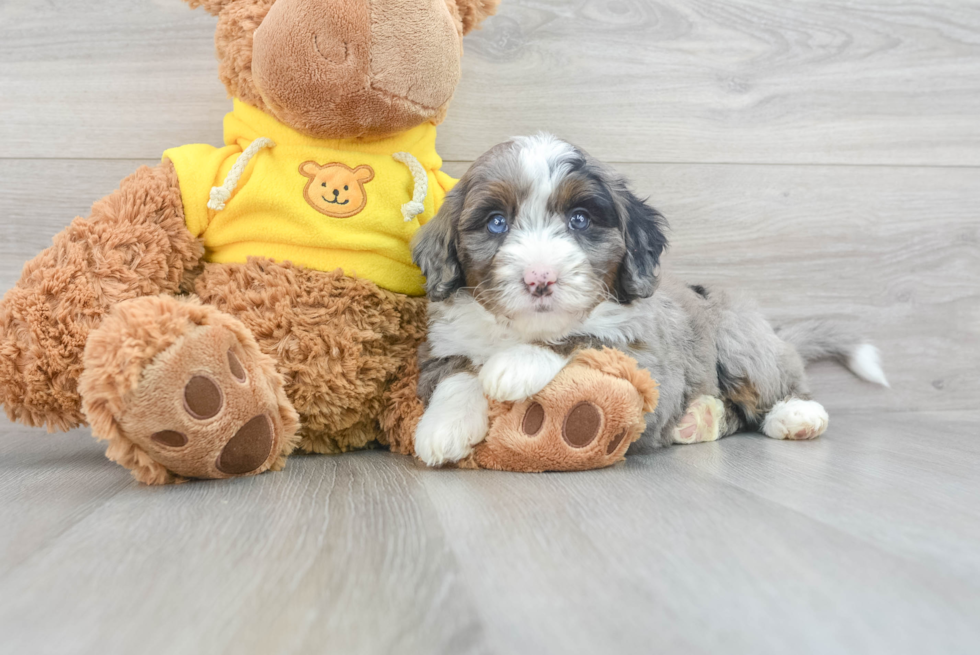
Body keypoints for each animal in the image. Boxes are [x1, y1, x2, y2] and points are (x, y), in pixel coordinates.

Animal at [410, 136, 884, 468]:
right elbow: (458, 373)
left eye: (580, 219)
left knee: (777, 386)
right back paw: (700, 419)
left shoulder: (647, 355)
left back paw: (797, 416)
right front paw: (443, 428)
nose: (539, 278)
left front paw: (514, 364)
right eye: (496, 222)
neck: (520, 328)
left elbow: (581, 337)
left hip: (740, 338)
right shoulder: (442, 344)